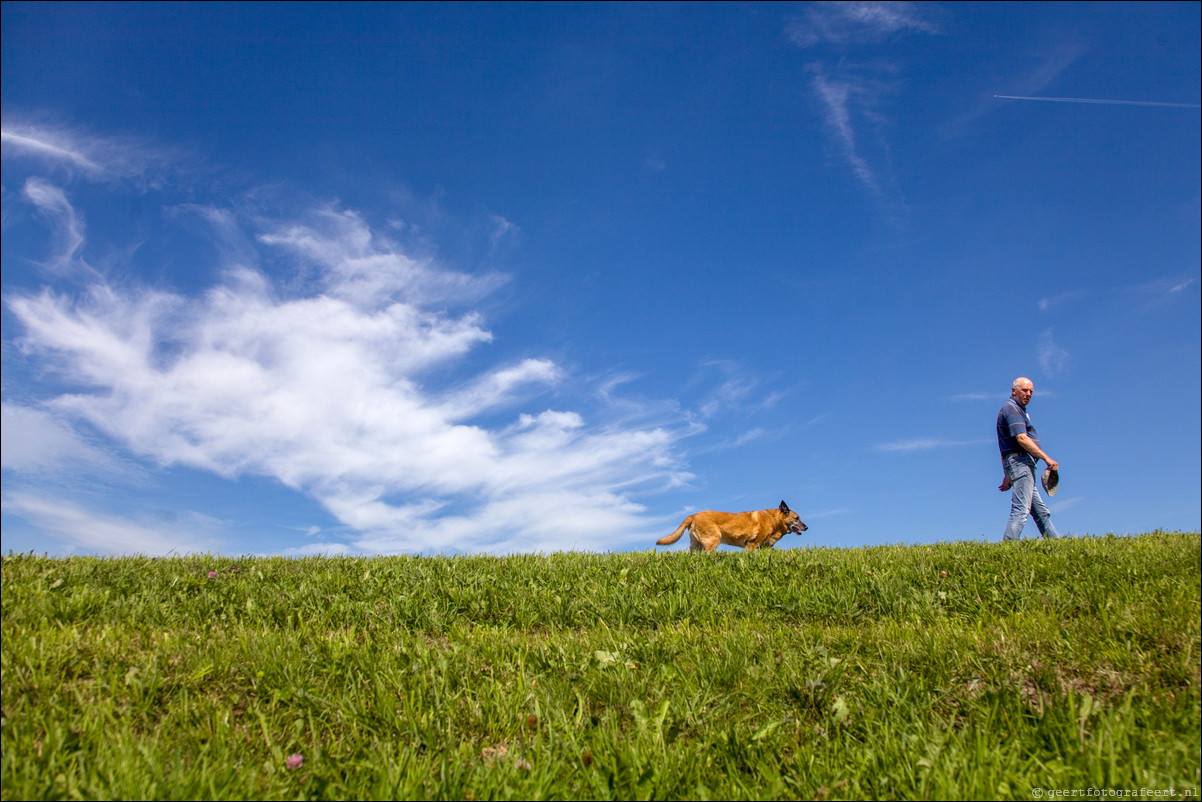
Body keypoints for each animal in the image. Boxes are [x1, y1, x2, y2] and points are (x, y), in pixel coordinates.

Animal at [658, 502, 807, 553]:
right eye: (797, 518)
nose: (806, 527)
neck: (774, 520)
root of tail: (693, 515)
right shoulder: (751, 545)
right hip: (714, 539)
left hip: (696, 545)